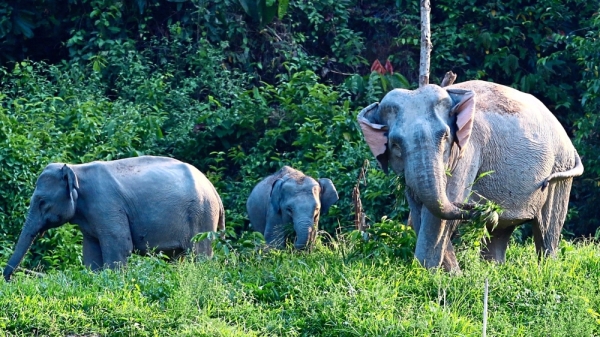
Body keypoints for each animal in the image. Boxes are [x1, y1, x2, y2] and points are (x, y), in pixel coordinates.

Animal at [2, 156, 225, 280]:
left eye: (41, 202)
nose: (9, 279)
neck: (76, 169)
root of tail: (214, 191)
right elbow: (91, 252)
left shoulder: (107, 205)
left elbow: (120, 246)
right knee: (177, 257)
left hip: (201, 216)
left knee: (199, 255)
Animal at [358, 79, 584, 270]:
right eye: (395, 144)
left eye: (445, 136)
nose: (478, 207)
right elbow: (420, 210)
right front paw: (445, 274)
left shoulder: (468, 151)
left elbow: (440, 212)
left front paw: (428, 274)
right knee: (500, 230)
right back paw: (494, 269)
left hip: (559, 168)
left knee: (547, 226)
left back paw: (545, 269)